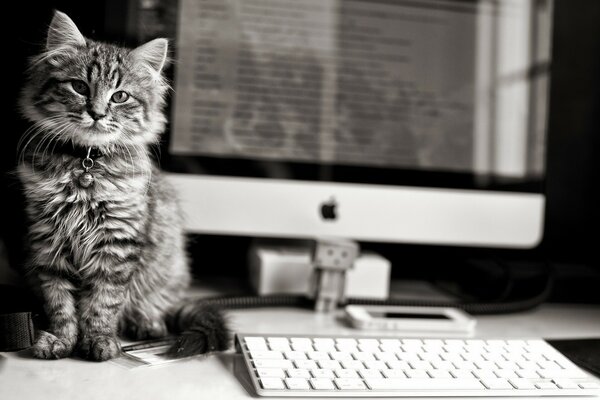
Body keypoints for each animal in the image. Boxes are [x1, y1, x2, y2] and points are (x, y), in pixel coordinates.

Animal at [18, 10, 230, 360]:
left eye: (120, 97)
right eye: (79, 87)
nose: (96, 113)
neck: (86, 166)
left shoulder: (117, 241)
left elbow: (103, 302)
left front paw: (99, 341)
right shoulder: (47, 241)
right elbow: (60, 303)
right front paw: (61, 340)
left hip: (168, 269)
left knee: (154, 304)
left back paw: (146, 323)